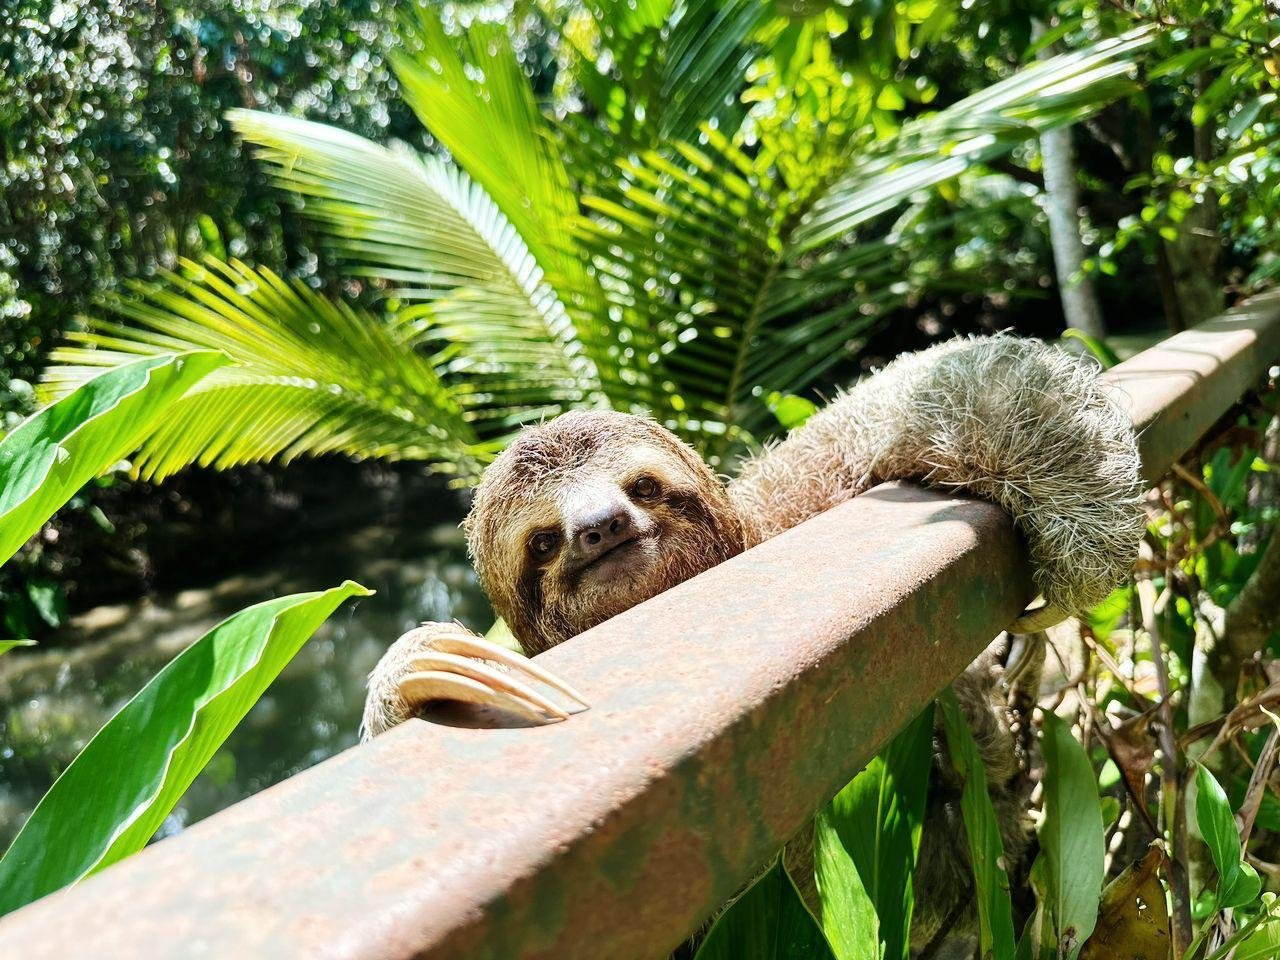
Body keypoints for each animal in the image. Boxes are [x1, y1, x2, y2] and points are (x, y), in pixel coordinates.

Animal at [361, 334, 1146, 950]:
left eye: (642, 488)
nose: (601, 526)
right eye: (544, 541)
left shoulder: (781, 517)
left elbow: (878, 417)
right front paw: (421, 673)